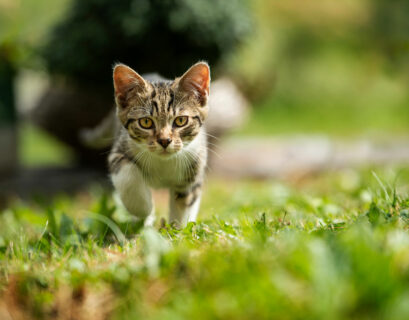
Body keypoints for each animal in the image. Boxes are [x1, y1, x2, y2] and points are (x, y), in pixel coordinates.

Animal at [107, 62, 210, 226]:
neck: (163, 163)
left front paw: (178, 229)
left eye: (181, 120)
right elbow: (127, 175)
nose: (164, 140)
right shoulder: (118, 149)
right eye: (146, 122)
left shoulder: (196, 160)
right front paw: (144, 209)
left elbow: (185, 200)